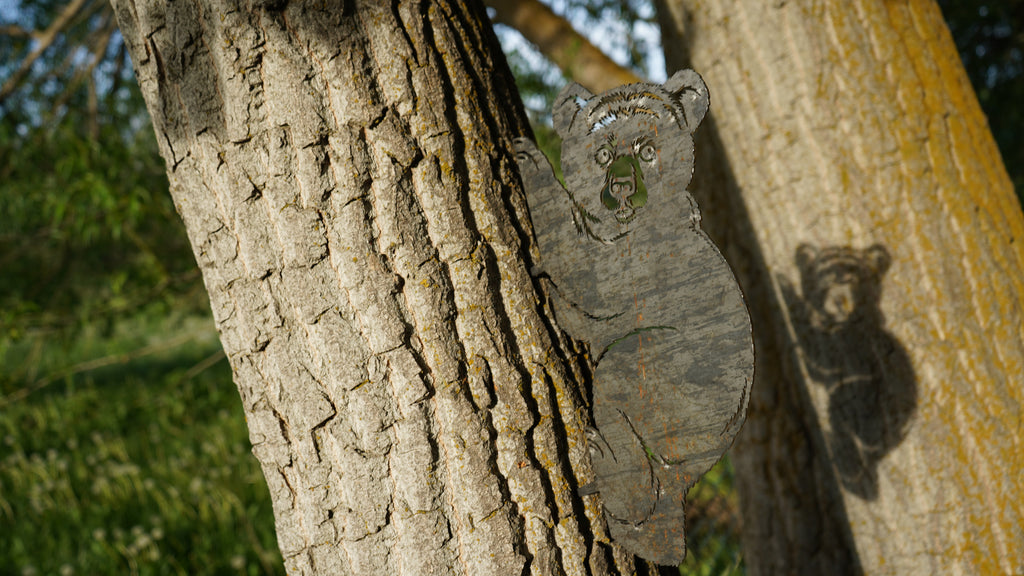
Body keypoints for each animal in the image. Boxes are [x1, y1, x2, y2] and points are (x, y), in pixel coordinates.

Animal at [515, 69, 754, 566]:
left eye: (648, 149)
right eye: (602, 152)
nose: (622, 185)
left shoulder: (625, 272)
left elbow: (581, 268)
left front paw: (527, 156)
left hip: (653, 373)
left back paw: (601, 458)